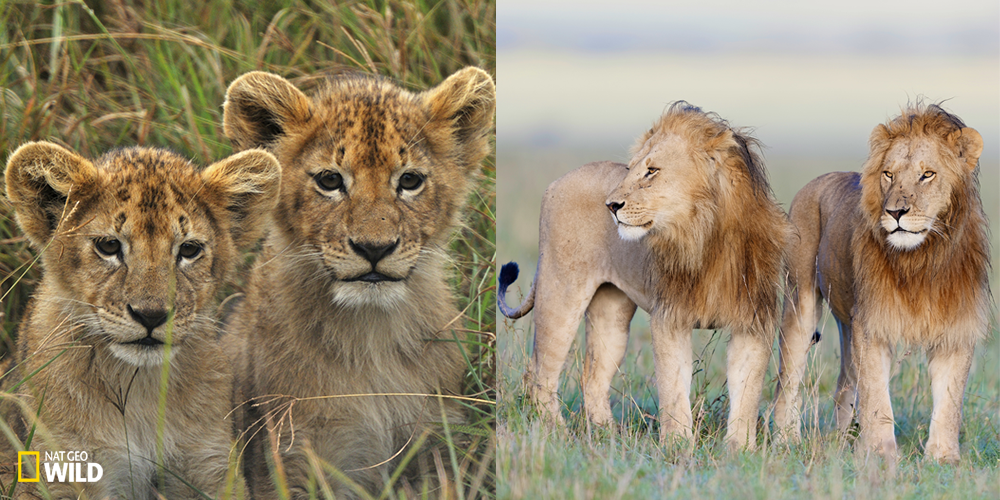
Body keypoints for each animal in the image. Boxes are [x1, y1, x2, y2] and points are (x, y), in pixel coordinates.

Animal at [1, 143, 280, 499]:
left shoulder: (209, 464)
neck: (138, 387)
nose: (152, 315)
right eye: (108, 246)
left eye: (189, 249)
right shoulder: (64, 469)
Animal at [222, 67, 495, 498]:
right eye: (330, 180)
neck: (371, 335)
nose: (374, 248)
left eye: (410, 180)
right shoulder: (290, 456)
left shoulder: (431, 445)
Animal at [498, 102, 791, 450]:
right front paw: (678, 447)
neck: (706, 235)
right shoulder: (670, 318)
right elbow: (673, 388)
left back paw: (607, 436)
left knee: (593, 375)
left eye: (652, 171)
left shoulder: (753, 320)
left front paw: (741, 450)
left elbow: (747, 391)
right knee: (540, 373)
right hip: (561, 291)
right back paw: (557, 435)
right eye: (630, 169)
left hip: (611, 310)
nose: (611, 205)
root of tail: (557, 181)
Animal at [773, 103, 989, 463]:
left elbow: (949, 400)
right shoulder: (871, 326)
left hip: (847, 324)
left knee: (845, 383)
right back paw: (785, 441)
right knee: (787, 379)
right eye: (888, 174)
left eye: (927, 174)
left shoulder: (954, 329)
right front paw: (879, 453)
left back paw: (841, 442)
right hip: (799, 303)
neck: (920, 260)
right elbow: (876, 397)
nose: (895, 212)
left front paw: (943, 458)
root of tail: (820, 178)